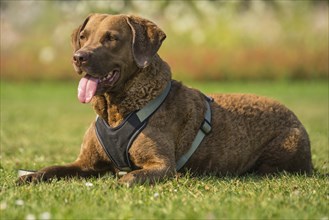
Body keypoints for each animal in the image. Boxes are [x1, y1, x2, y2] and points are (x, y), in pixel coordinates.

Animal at [16, 13, 312, 186]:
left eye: (111, 38)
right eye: (83, 37)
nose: (79, 57)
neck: (116, 111)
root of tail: (293, 115)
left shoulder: (161, 165)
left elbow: (129, 178)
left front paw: (117, 181)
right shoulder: (85, 163)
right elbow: (52, 168)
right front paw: (30, 175)